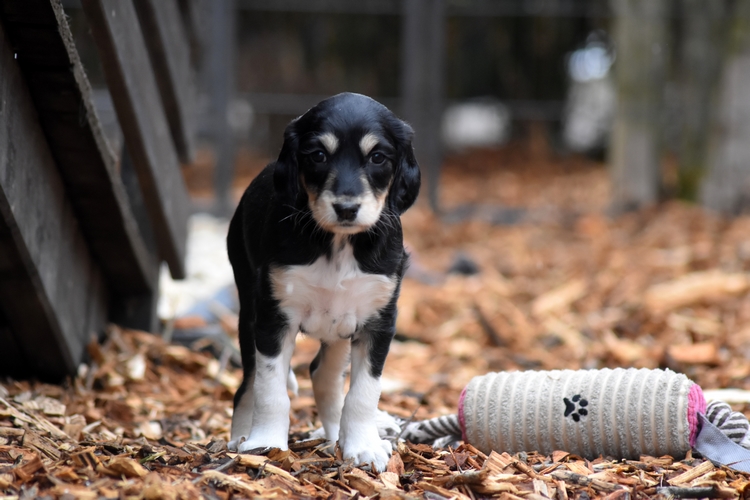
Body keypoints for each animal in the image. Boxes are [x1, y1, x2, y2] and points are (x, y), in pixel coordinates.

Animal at [223, 92, 424, 470]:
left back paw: (336, 439)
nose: (346, 208)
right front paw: (265, 443)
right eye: (318, 155)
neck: (338, 244)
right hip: (248, 308)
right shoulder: (273, 317)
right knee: (248, 384)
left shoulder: (378, 321)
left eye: (377, 157)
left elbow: (363, 393)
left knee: (323, 376)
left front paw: (363, 446)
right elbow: (270, 389)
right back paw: (238, 439)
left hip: (341, 329)